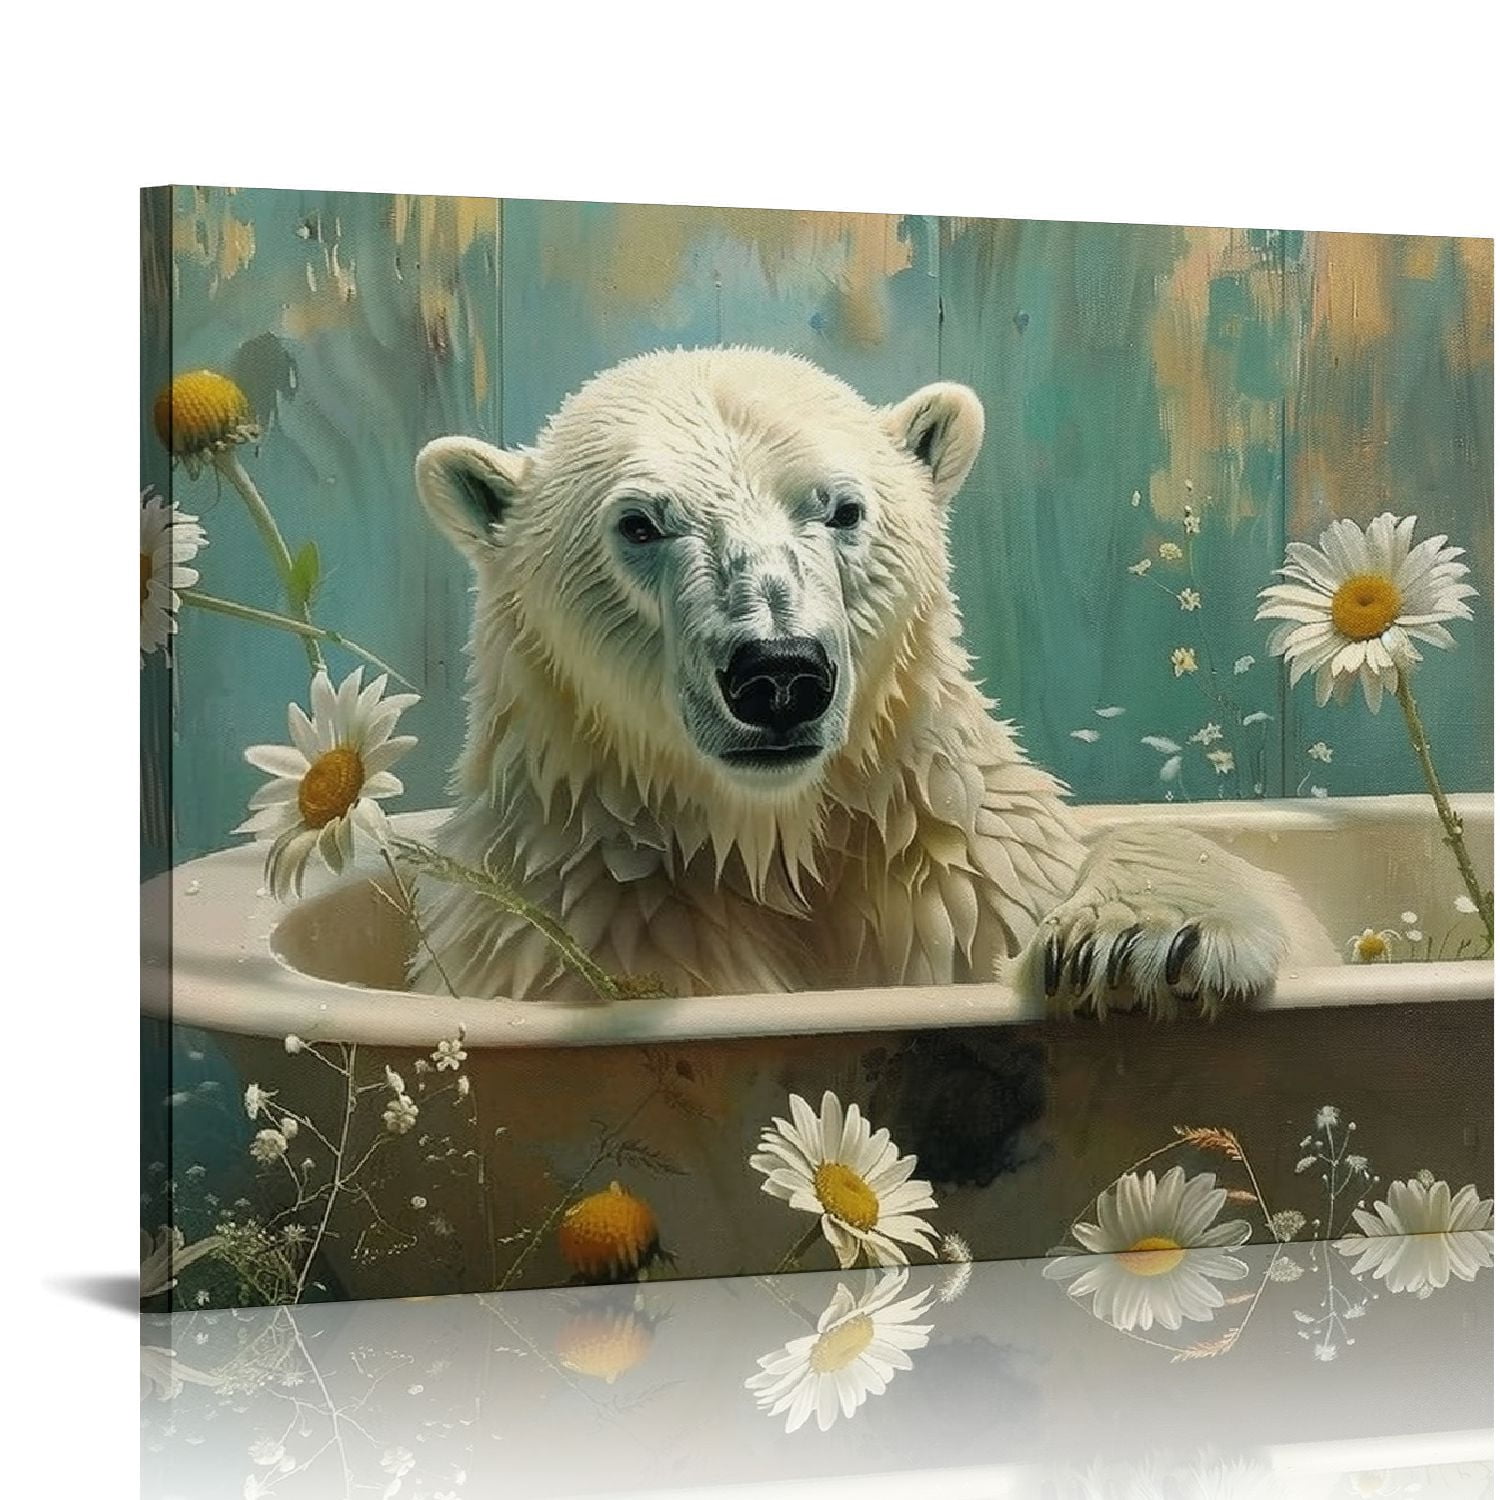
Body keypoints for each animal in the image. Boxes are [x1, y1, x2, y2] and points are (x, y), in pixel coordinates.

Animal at [412, 347, 1336, 1016]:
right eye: (640, 523)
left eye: (842, 509)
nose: (779, 674)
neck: (774, 838)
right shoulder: (573, 928)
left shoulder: (967, 872)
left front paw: (1137, 942)